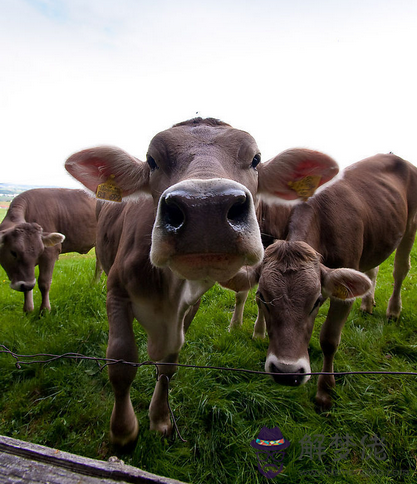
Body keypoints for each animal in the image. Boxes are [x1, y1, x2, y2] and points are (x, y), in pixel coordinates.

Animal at [64, 118, 338, 450]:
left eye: (256, 159)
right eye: (152, 160)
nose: (205, 208)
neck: (166, 292)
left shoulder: (190, 304)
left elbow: (169, 365)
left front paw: (160, 419)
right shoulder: (116, 292)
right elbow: (121, 362)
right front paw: (123, 432)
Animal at [221, 153, 416, 410]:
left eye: (317, 301)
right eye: (264, 297)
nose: (287, 372)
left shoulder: (342, 293)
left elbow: (329, 340)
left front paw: (325, 392)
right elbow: (245, 293)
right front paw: (248, 329)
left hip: (411, 226)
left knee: (400, 270)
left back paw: (393, 310)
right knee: (372, 271)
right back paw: (367, 304)